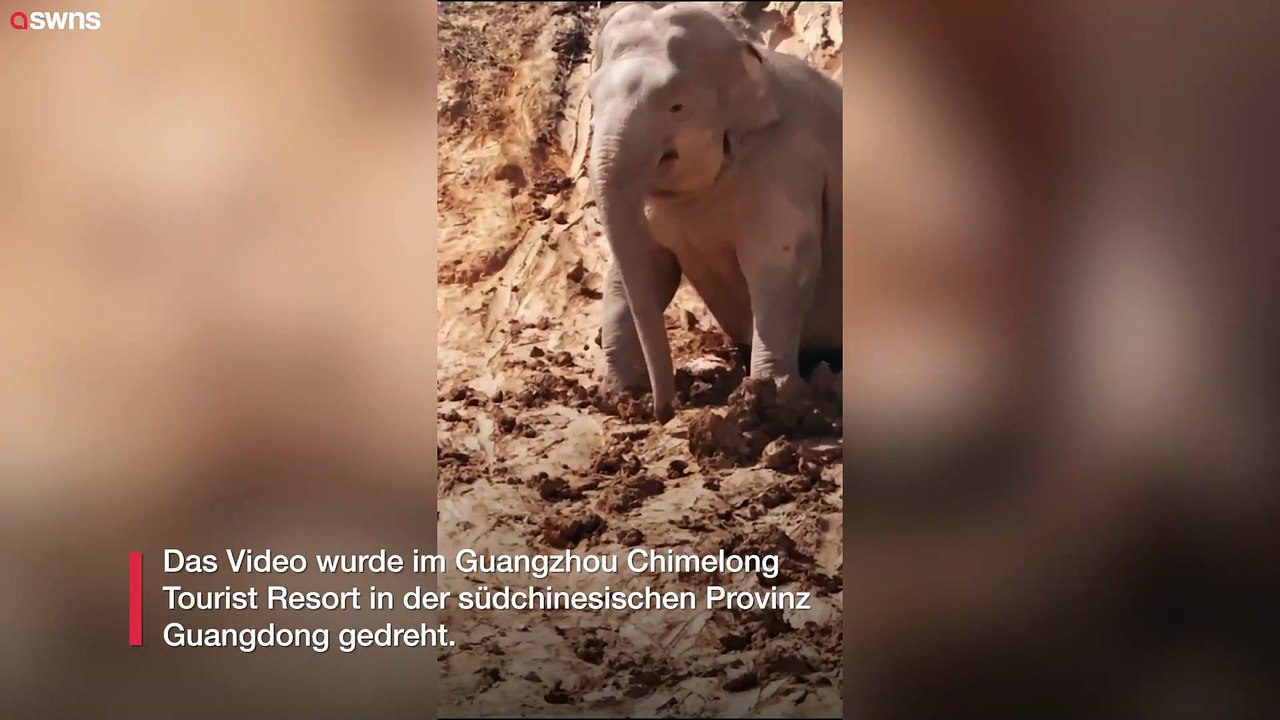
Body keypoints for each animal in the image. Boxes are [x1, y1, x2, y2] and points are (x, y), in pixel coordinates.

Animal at [587, 3, 842, 423]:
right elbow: (641, 269)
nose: (664, 410)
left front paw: (768, 402)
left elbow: (779, 264)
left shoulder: (785, 162)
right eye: (591, 102)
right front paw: (616, 394)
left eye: (676, 107)